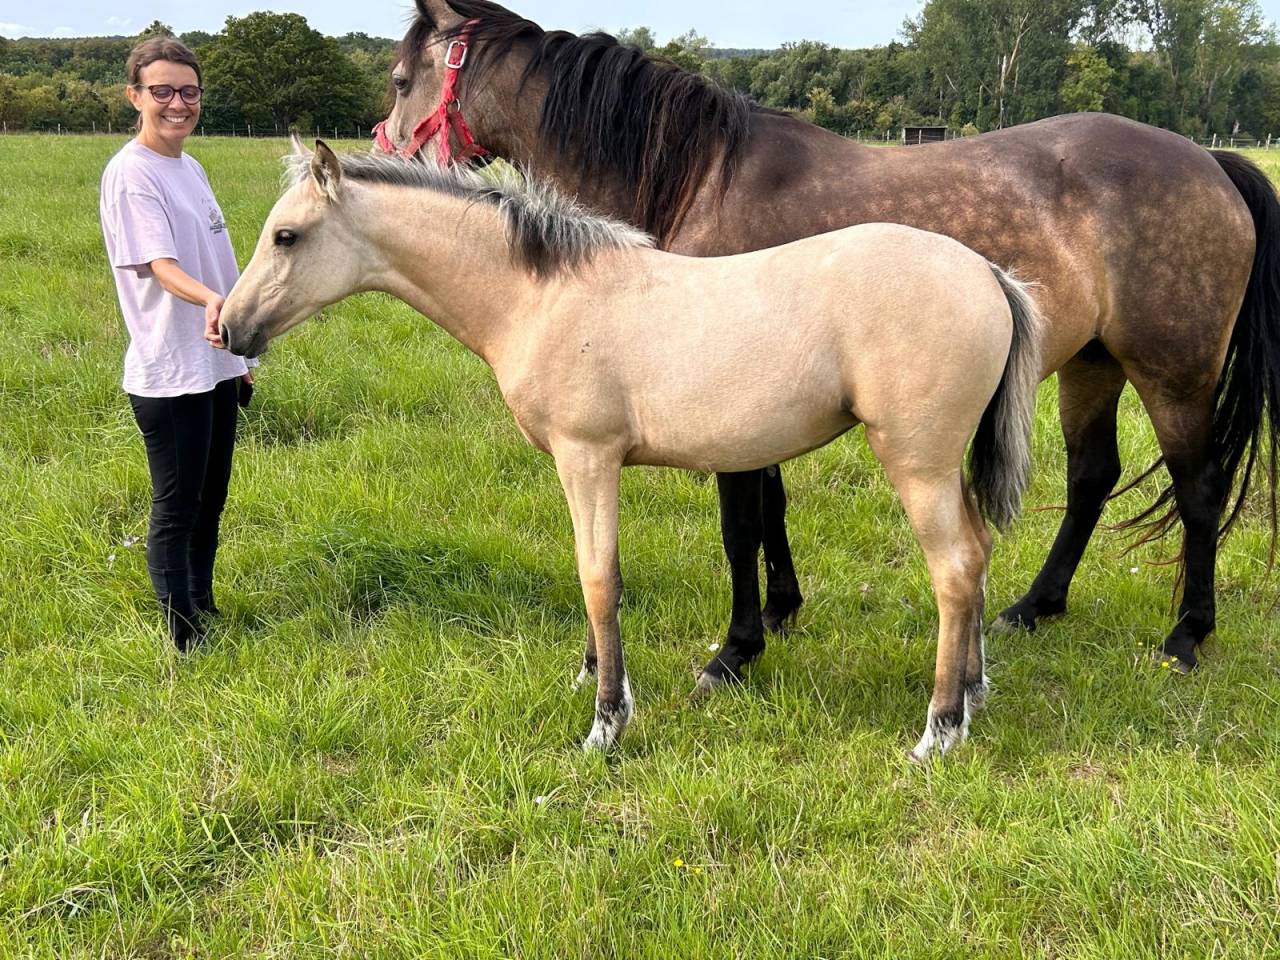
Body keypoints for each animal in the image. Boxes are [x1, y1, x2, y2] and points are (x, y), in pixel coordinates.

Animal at [218, 141, 1042, 759]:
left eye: (286, 236)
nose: (228, 327)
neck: (542, 295)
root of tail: (989, 274)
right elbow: (591, 572)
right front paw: (590, 678)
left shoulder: (588, 458)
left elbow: (598, 578)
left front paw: (607, 721)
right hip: (942, 469)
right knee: (978, 552)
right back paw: (972, 694)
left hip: (917, 464)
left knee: (954, 569)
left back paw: (939, 730)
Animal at [378, 0, 1280, 684]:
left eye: (398, 80)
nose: (380, 151)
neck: (696, 176)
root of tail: (1210, 160)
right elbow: (770, 507)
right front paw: (782, 609)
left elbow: (740, 524)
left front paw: (735, 650)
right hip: (1092, 366)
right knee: (1093, 477)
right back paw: (1034, 607)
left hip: (1173, 373)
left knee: (1198, 488)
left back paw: (1185, 637)